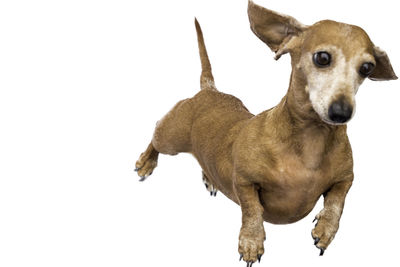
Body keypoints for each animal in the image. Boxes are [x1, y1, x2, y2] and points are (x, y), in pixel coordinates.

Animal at [134, 1, 396, 266]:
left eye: (367, 68)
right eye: (322, 57)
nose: (341, 112)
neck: (311, 141)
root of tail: (210, 90)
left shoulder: (346, 178)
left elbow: (337, 201)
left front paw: (325, 229)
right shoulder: (244, 180)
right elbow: (252, 211)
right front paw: (251, 242)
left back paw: (209, 177)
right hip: (170, 138)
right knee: (156, 133)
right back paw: (146, 162)